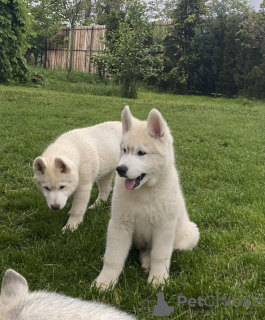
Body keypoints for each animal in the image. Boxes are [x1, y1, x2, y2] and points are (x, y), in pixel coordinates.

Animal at [95, 105, 198, 288]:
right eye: (124, 150)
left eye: (141, 153)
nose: (120, 169)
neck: (144, 192)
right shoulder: (120, 224)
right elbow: (113, 256)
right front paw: (105, 282)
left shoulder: (164, 228)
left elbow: (160, 255)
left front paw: (158, 279)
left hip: (189, 235)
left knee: (155, 251)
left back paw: (148, 263)